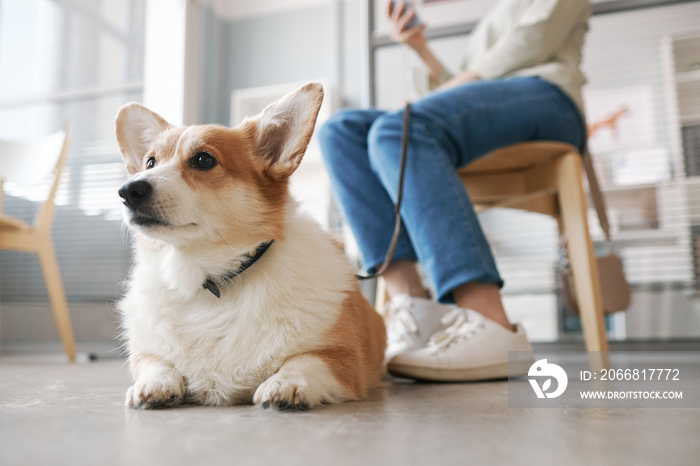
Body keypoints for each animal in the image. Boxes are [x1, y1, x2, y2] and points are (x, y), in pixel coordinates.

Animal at [117, 84, 386, 412]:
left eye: (204, 160)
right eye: (150, 162)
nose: (128, 191)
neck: (208, 278)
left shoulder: (342, 359)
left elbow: (304, 361)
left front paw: (286, 384)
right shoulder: (147, 351)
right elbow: (157, 362)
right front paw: (153, 385)